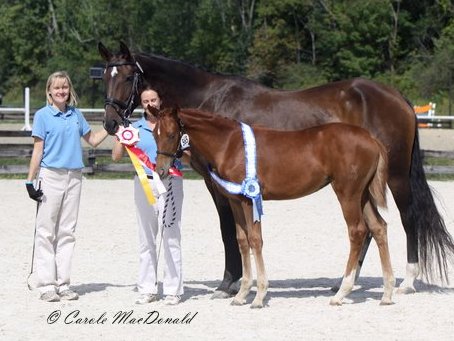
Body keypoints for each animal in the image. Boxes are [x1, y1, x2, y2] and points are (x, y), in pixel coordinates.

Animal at [153, 105, 394, 306]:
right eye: (154, 134)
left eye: (172, 135)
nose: (161, 170)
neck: (229, 144)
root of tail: (371, 138)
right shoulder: (235, 201)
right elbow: (242, 241)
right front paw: (241, 295)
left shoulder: (249, 200)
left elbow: (255, 240)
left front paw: (259, 296)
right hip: (363, 195)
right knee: (379, 227)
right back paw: (387, 293)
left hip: (347, 194)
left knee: (357, 231)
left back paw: (341, 293)